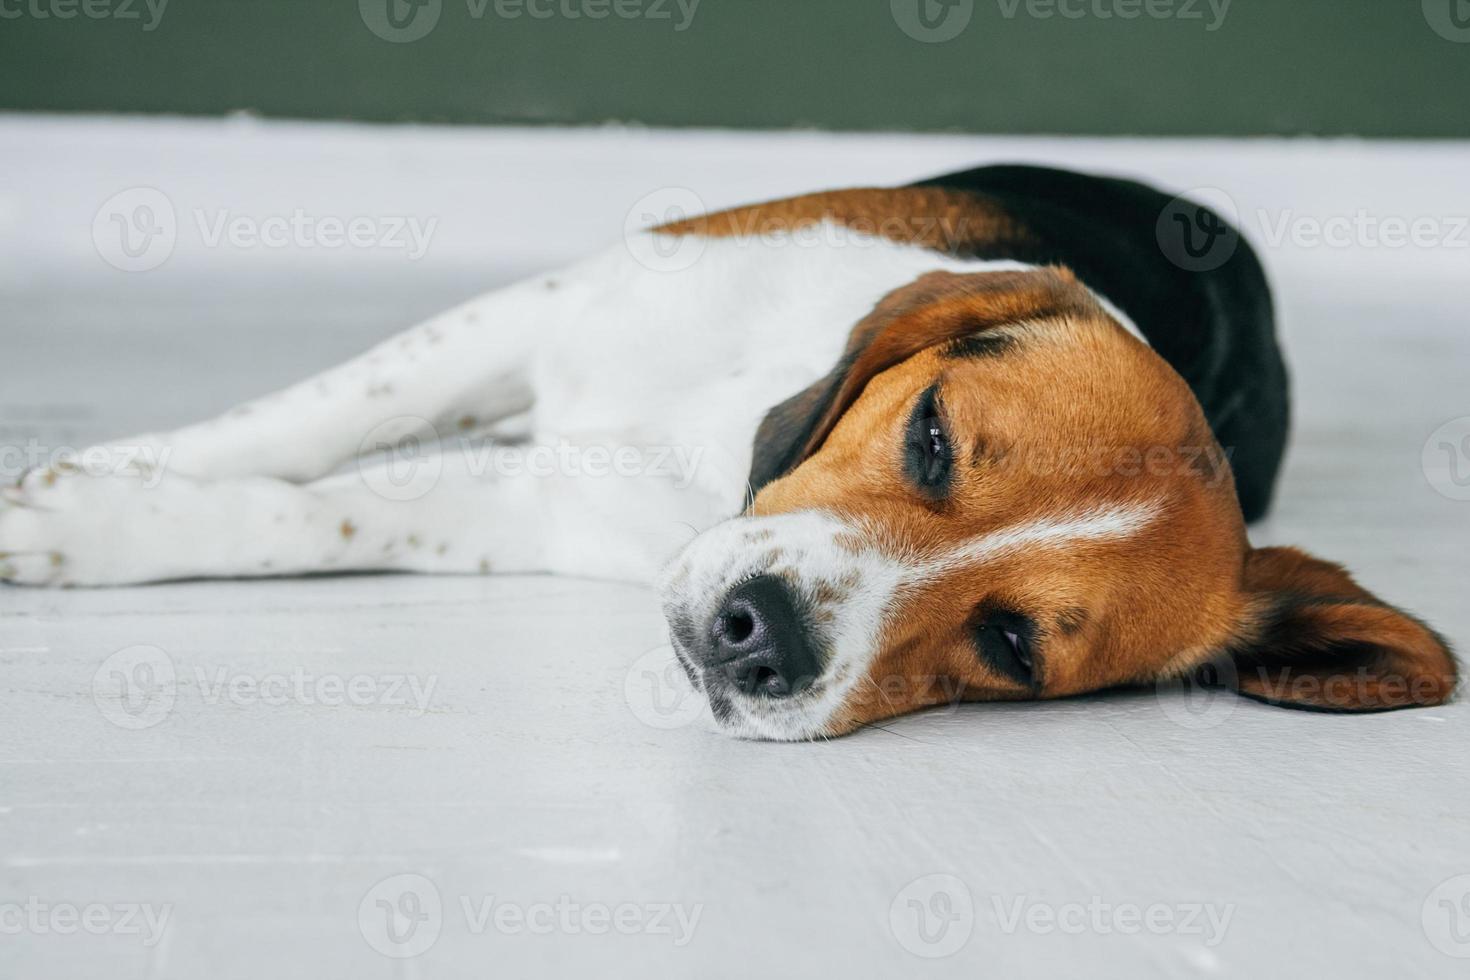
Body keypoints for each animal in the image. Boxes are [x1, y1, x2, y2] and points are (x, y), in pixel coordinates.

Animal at [0, 164, 1452, 740]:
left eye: (1011, 647)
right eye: (931, 439)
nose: (760, 637)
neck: (721, 432)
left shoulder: (541, 511)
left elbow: (324, 511)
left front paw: (99, 525)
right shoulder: (540, 313)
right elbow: (298, 424)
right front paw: (109, 479)